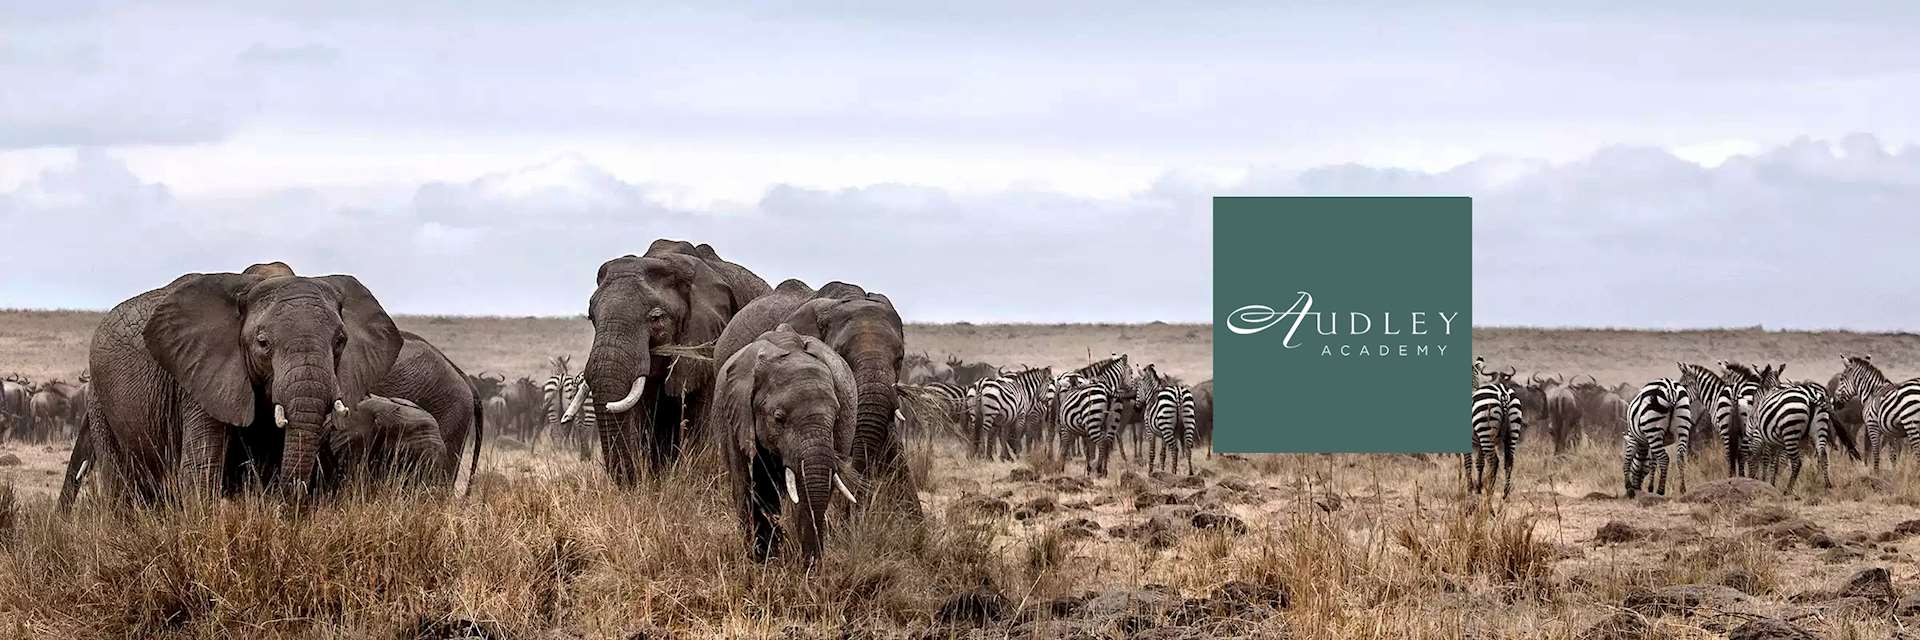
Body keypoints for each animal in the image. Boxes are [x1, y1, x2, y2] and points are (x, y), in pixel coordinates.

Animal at [61, 271, 402, 505]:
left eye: (341, 341)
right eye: (263, 343)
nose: (292, 501)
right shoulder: (199, 377)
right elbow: (202, 468)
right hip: (99, 399)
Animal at [714, 324, 858, 563]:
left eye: (836, 416)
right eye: (779, 418)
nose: (812, 564)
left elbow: (807, 492)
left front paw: (806, 566)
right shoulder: (736, 416)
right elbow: (746, 484)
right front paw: (761, 561)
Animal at [1467, 367, 1524, 497]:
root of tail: (1503, 393)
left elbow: (1468, 463)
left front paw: (1469, 489)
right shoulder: (1479, 443)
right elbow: (1479, 463)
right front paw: (1478, 488)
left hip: (1485, 431)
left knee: (1494, 461)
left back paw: (1490, 491)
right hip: (1513, 429)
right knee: (1509, 461)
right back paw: (1505, 494)